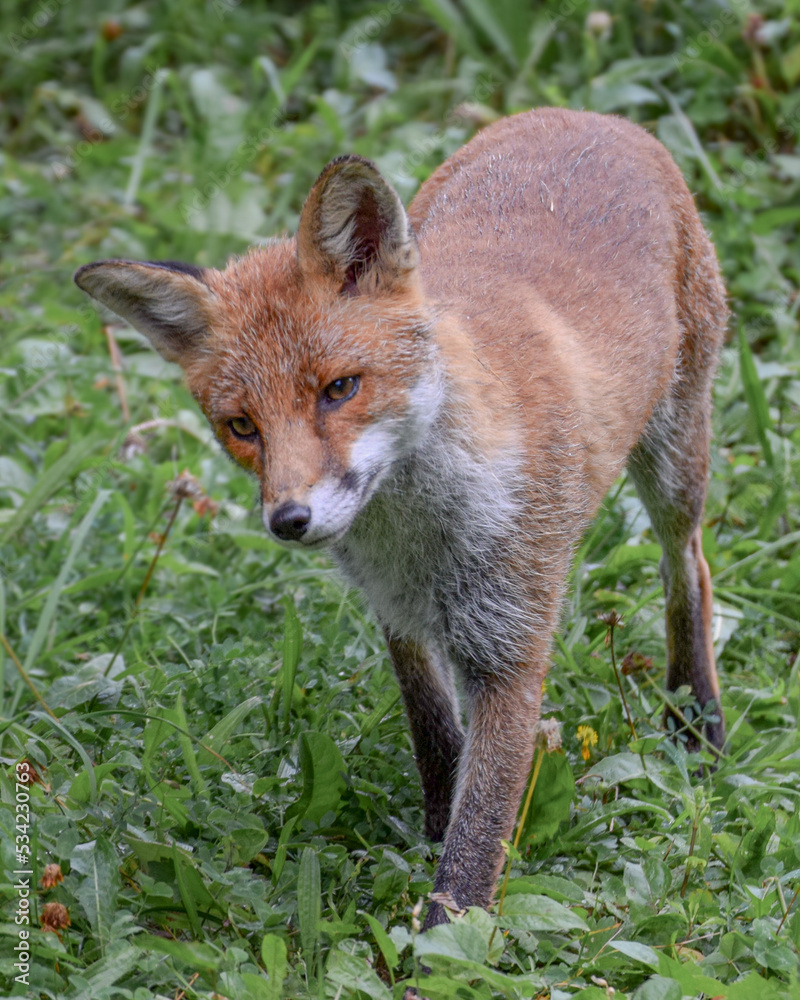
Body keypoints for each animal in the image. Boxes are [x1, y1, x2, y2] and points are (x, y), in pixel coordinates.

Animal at [73, 107, 724, 928]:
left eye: (339, 388)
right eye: (242, 426)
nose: (290, 518)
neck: (418, 538)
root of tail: (587, 115)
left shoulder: (512, 642)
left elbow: (482, 827)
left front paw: (448, 935)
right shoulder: (399, 616)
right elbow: (437, 740)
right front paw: (433, 832)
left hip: (674, 462)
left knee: (688, 568)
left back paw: (696, 720)